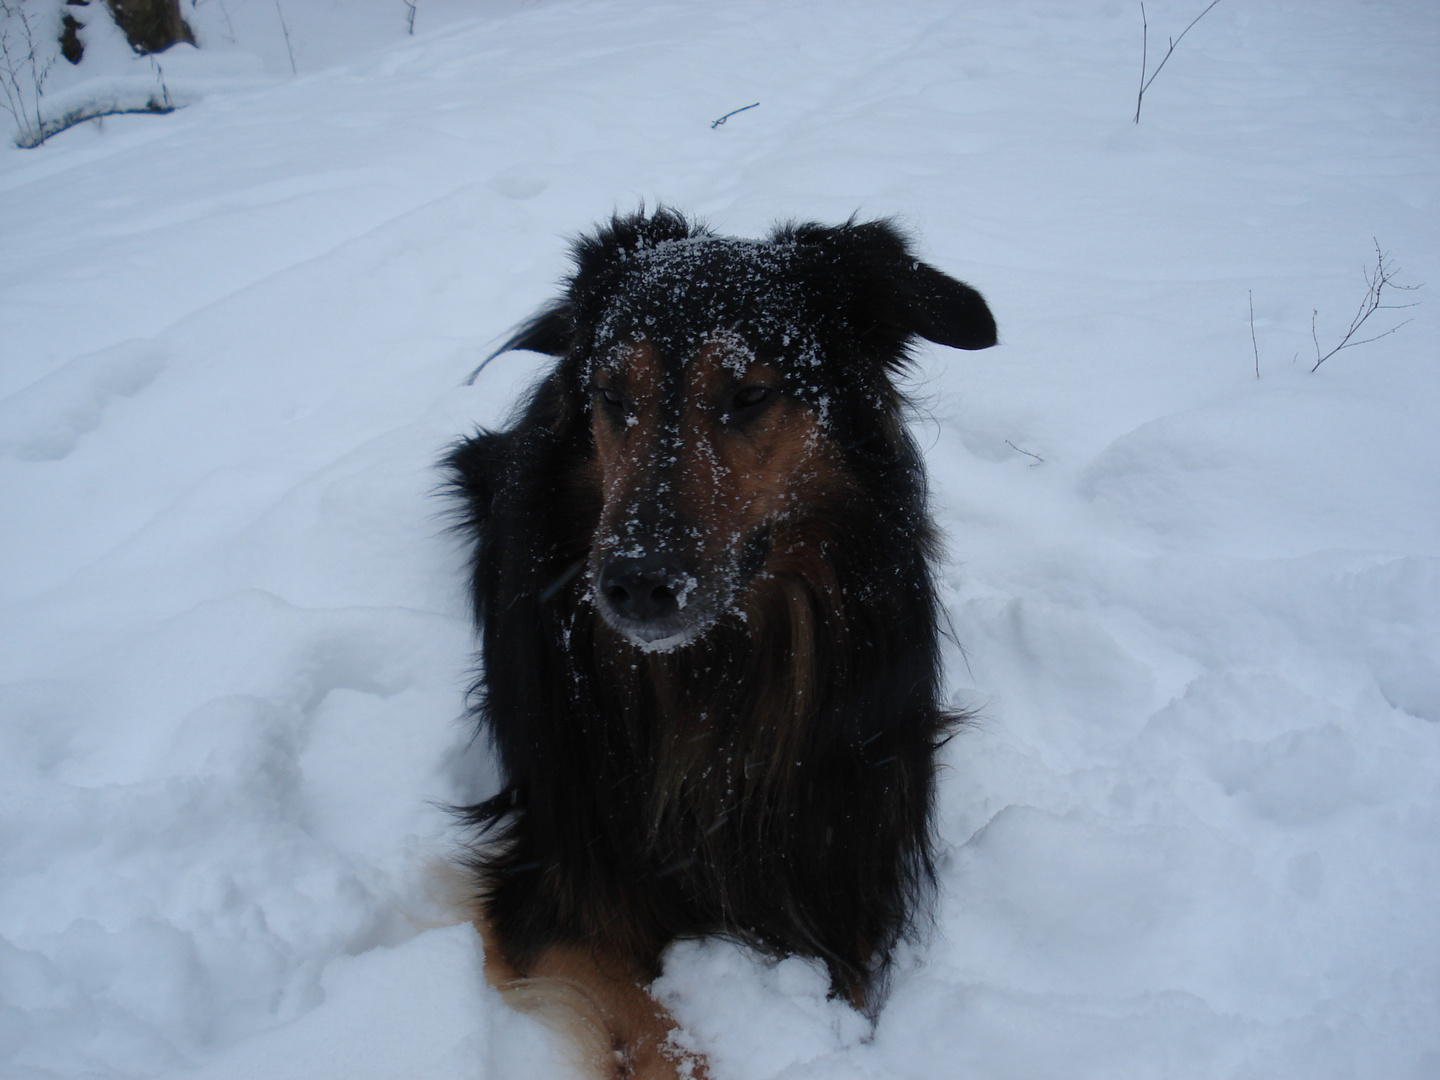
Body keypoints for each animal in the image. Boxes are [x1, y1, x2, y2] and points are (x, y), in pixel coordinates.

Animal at [443, 207, 996, 1077]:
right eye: (612, 396)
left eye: (750, 394)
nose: (635, 585)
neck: (716, 669)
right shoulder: (555, 893)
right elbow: (665, 1040)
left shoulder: (845, 859)